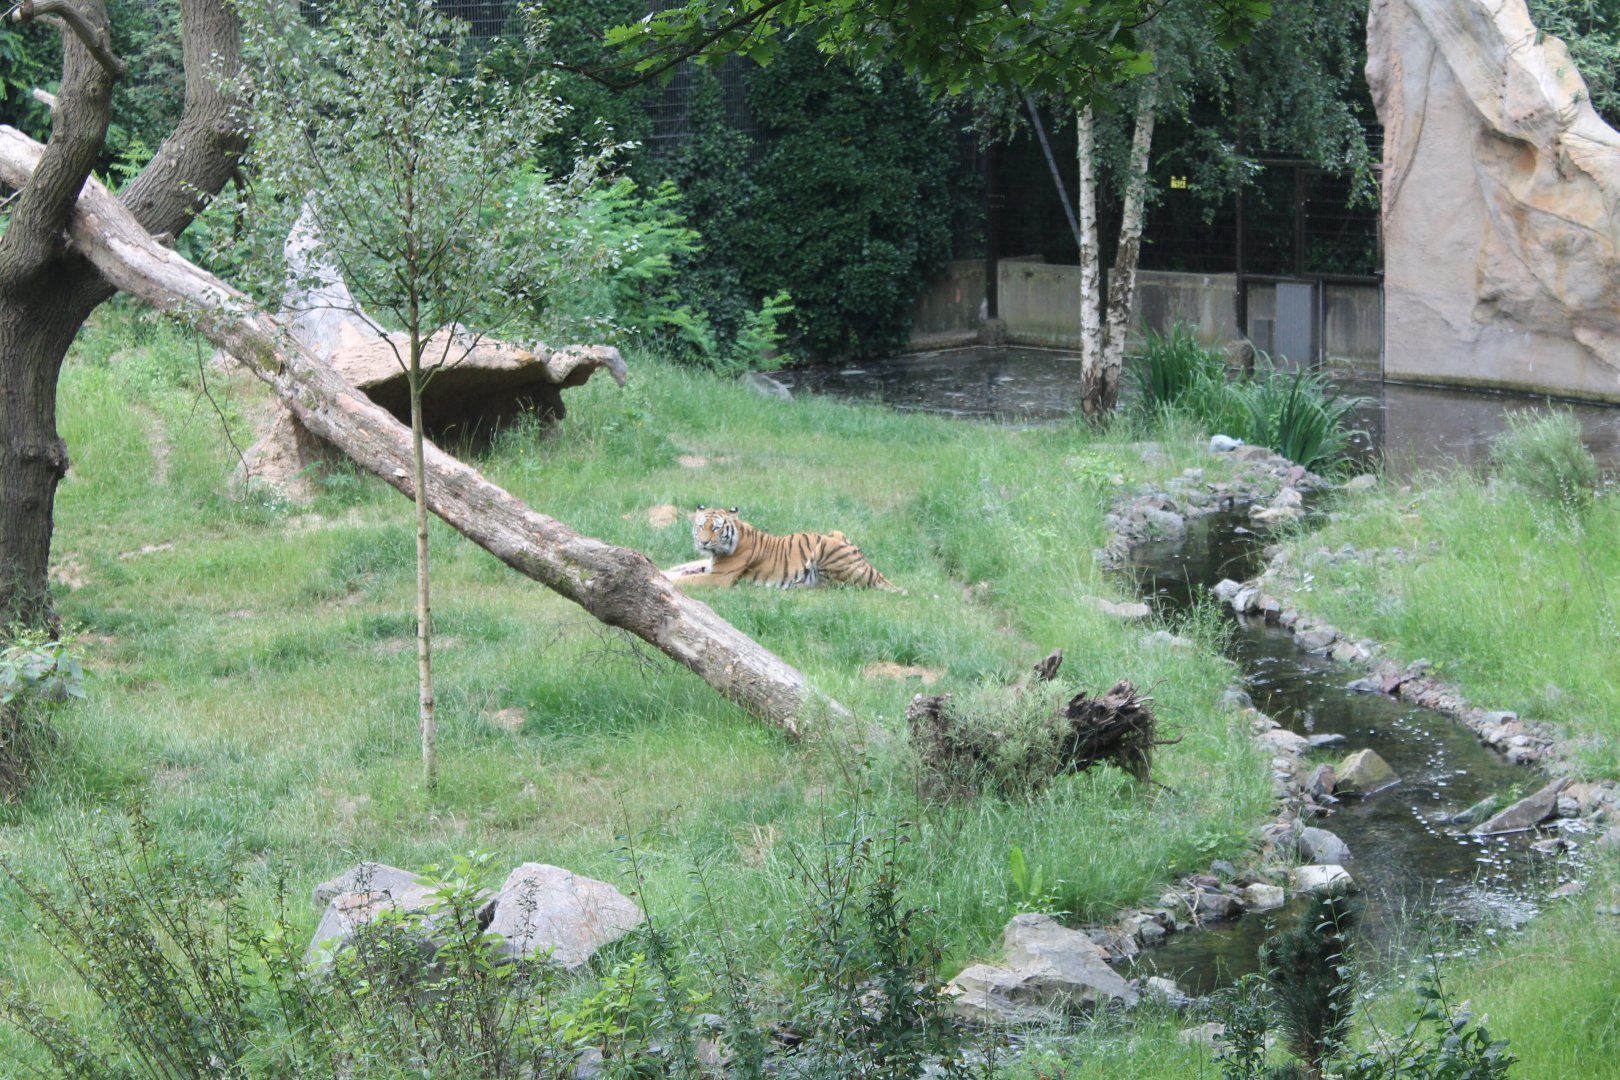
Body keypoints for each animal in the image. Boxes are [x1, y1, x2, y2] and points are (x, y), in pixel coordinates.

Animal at [671, 506, 902, 592]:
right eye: (701, 526)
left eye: (716, 528)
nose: (703, 542)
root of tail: (873, 569)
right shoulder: (708, 564)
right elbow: (680, 568)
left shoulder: (719, 577)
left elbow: (688, 579)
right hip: (836, 533)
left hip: (826, 548)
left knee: (835, 586)